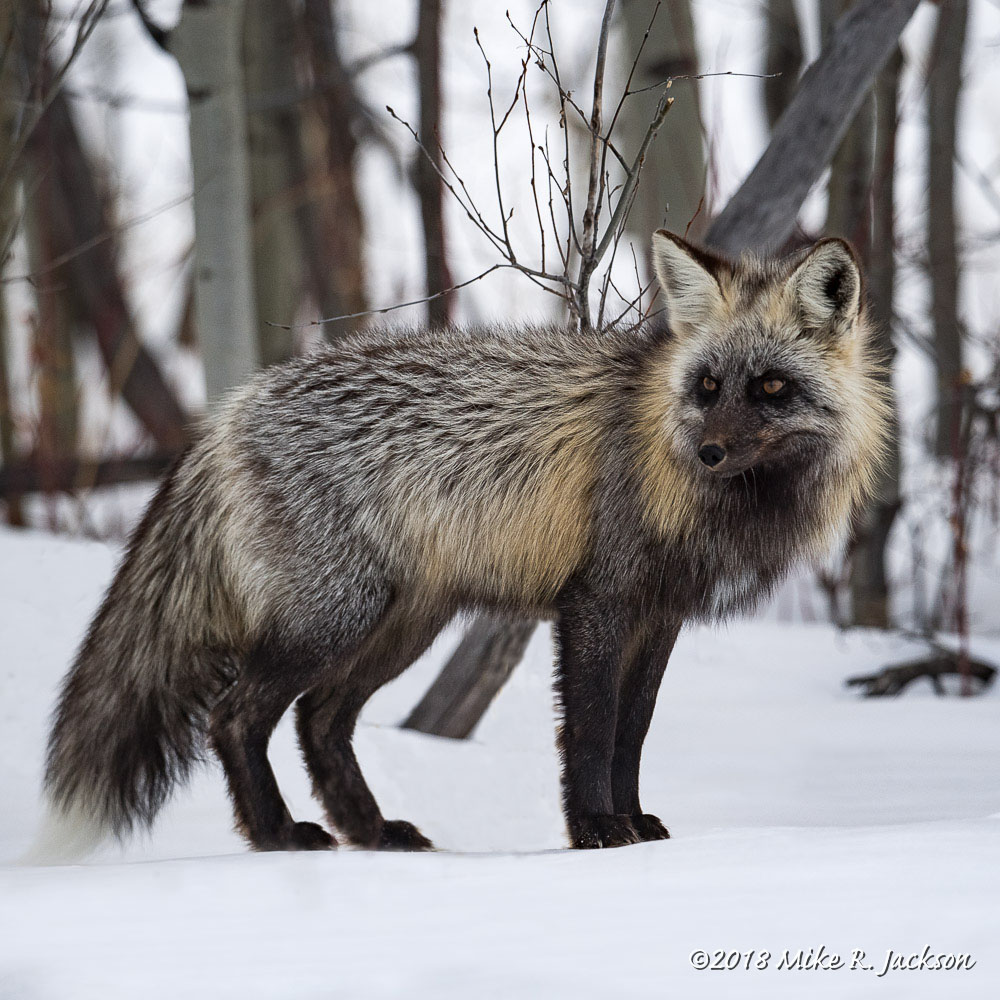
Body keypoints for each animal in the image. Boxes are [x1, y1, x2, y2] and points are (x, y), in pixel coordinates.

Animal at [40, 230, 889, 857]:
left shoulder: (660, 613)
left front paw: (636, 826)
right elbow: (591, 731)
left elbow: (632, 733)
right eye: (708, 387)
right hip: (335, 619)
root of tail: (229, 408)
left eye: (771, 388)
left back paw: (373, 831)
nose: (708, 453)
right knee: (237, 715)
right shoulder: (597, 602)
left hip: (401, 625)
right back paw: (279, 836)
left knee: (320, 720)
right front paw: (595, 831)